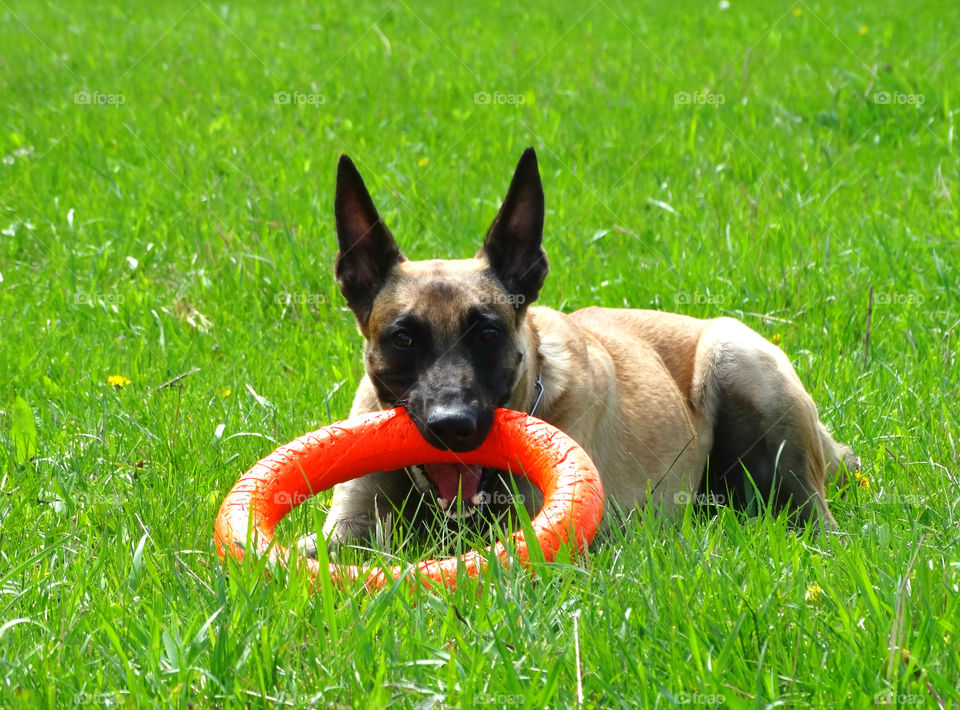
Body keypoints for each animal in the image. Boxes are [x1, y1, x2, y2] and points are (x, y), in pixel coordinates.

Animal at [298, 146, 856, 556]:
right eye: (403, 338)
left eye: (487, 334)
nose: (452, 426)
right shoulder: (343, 529)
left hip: (739, 363)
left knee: (813, 517)